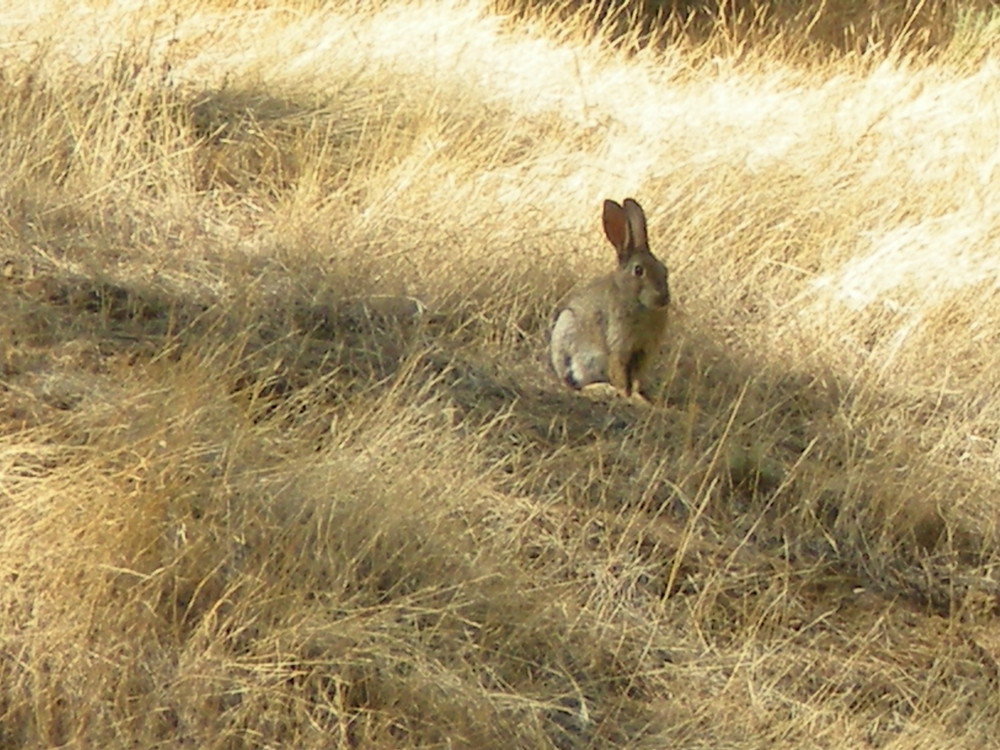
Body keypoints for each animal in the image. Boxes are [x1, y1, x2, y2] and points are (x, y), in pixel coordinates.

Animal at [548, 198, 672, 400]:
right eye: (638, 270)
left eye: (664, 269)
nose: (663, 298)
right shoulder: (619, 345)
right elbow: (619, 373)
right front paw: (627, 395)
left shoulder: (643, 352)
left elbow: (636, 379)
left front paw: (640, 397)